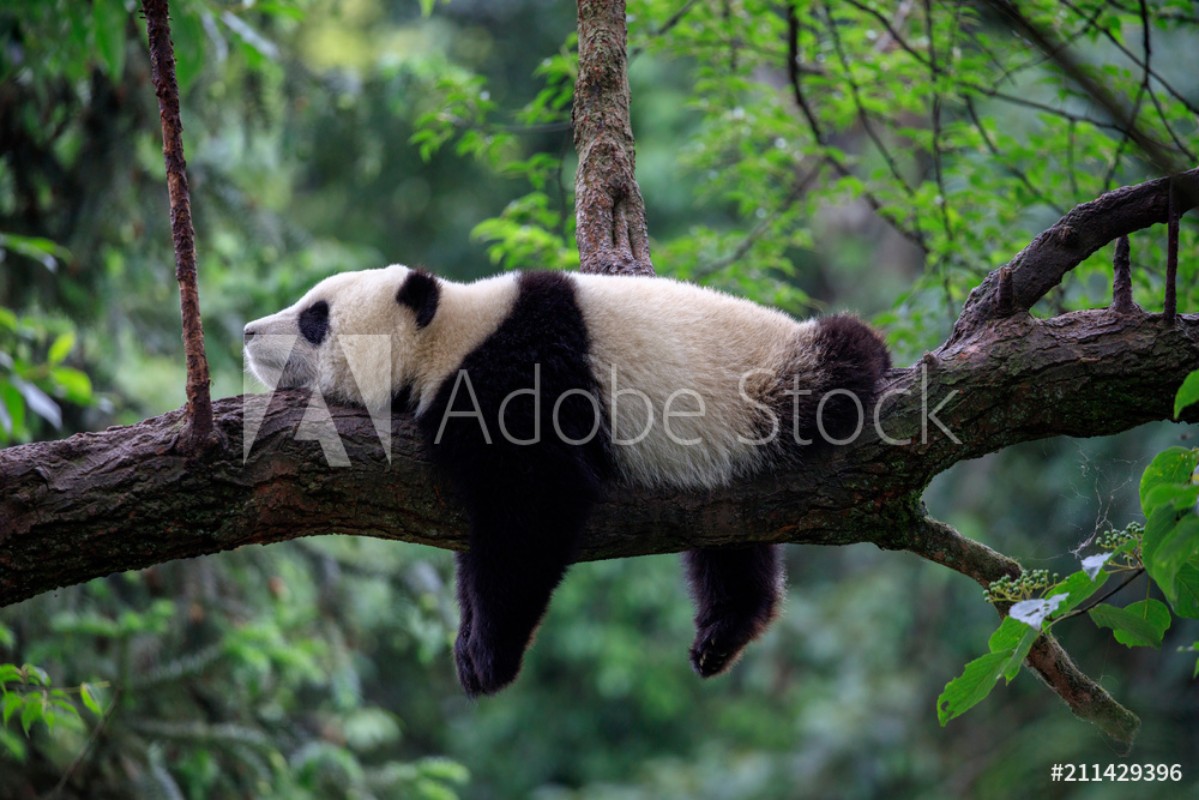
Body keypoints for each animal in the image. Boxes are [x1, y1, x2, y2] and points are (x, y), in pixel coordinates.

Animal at [245, 266, 892, 695]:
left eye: (314, 318)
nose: (249, 332)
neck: (450, 335)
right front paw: (467, 640)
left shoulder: (522, 377)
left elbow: (535, 506)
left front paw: (488, 656)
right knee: (730, 542)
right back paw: (723, 632)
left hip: (767, 381)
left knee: (837, 360)